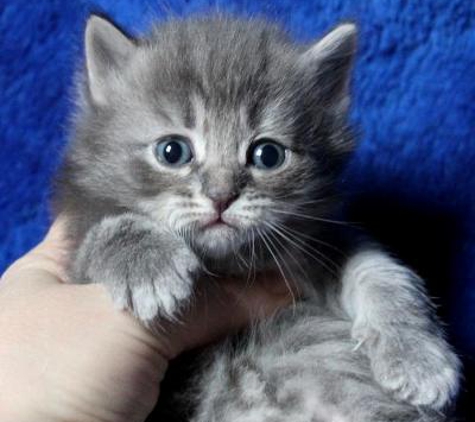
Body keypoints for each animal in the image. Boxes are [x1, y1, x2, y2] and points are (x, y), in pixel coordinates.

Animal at [54, 13, 462, 422]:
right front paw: (147, 265)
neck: (231, 264)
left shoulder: (318, 244)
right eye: (172, 151)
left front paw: (417, 357)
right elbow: (103, 233)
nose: (221, 196)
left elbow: (380, 271)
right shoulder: (76, 257)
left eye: (268, 155)